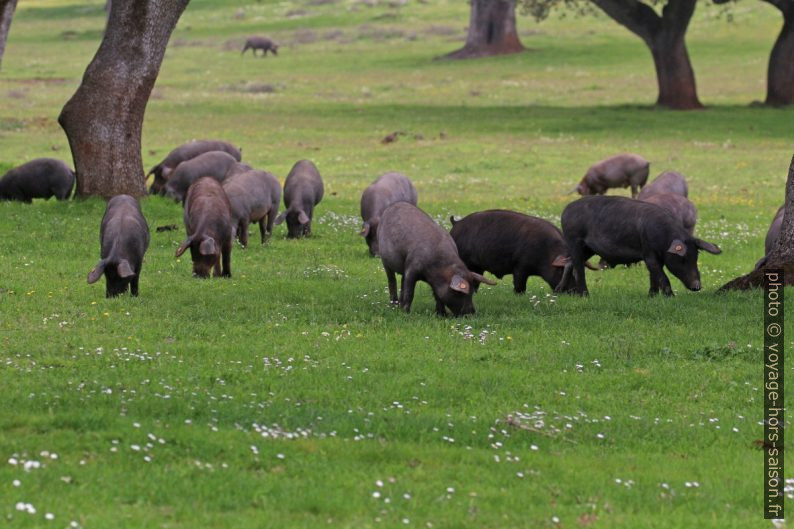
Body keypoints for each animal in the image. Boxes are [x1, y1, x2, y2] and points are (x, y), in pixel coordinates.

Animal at [452, 209, 592, 292]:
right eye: (561, 271)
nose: (574, 292)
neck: (546, 252)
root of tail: (456, 224)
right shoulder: (519, 268)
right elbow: (519, 286)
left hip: (478, 268)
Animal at [560, 195, 720, 294]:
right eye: (683, 259)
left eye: (696, 258)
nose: (697, 286)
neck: (664, 238)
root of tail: (566, 210)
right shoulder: (648, 252)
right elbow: (661, 276)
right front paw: (670, 297)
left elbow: (653, 275)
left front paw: (652, 297)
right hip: (574, 239)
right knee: (578, 268)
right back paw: (585, 295)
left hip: (589, 248)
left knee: (569, 263)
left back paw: (560, 291)